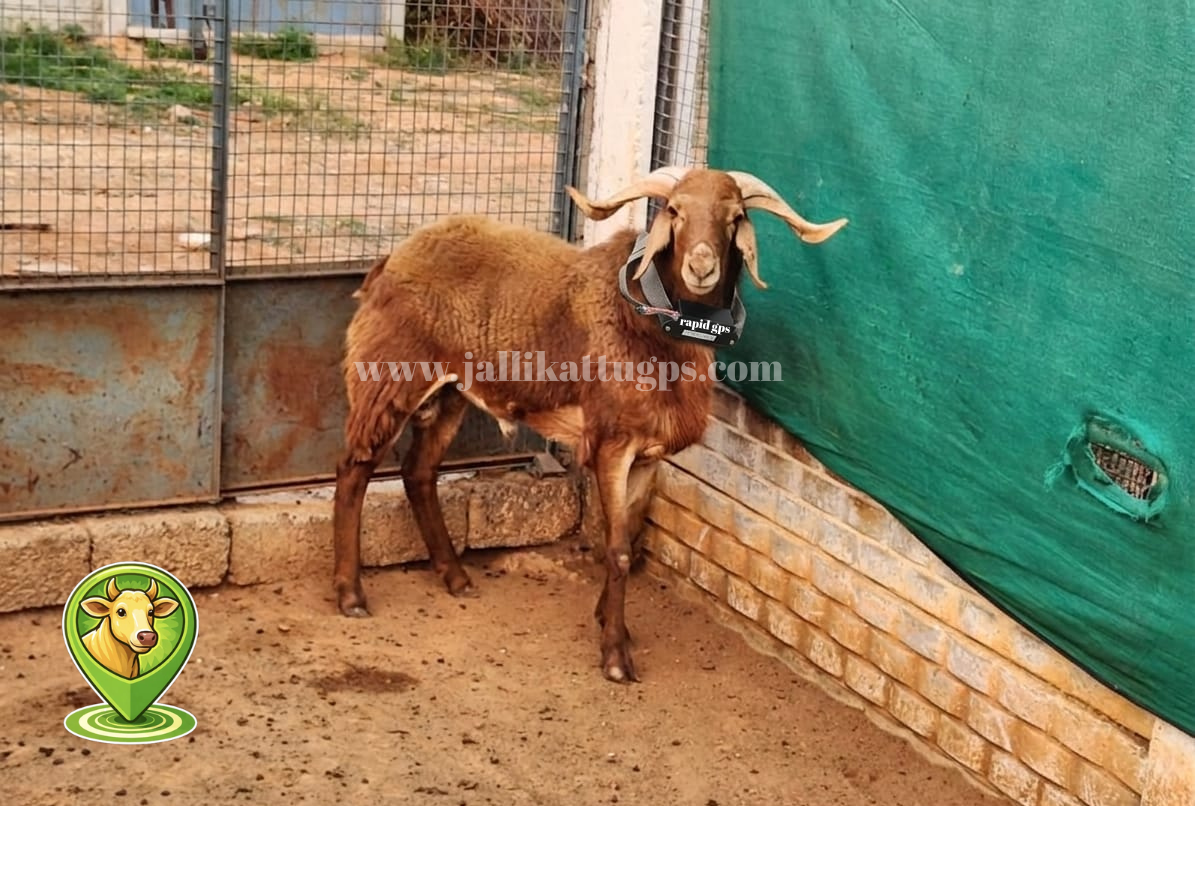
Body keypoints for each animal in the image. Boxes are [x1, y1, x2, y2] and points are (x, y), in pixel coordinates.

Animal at [332, 166, 847, 682]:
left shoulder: (647, 457)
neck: (647, 325)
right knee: (354, 468)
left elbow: (626, 538)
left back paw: (455, 577)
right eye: (675, 211)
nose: (701, 267)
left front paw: (608, 621)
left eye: (735, 215)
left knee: (418, 472)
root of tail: (392, 259)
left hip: (450, 393)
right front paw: (615, 655)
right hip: (388, 376)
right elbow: (615, 548)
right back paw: (351, 594)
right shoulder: (611, 445)